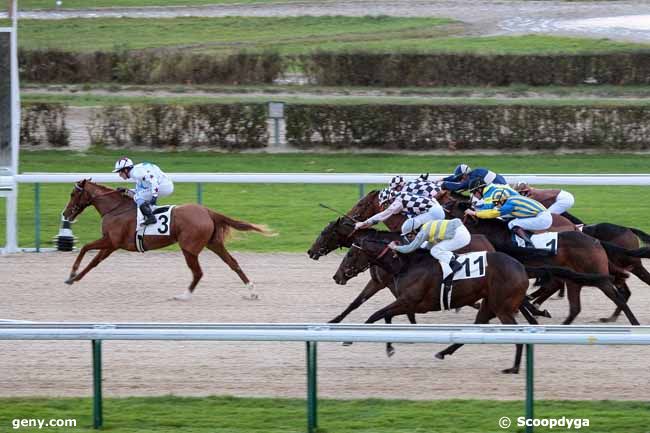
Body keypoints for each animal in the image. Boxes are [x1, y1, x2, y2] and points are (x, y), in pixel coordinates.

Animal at [62, 179, 272, 300]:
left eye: (73, 193)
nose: (65, 214)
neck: (116, 209)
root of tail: (207, 211)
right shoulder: (111, 245)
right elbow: (94, 262)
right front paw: (74, 278)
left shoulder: (111, 241)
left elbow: (85, 248)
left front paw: (72, 273)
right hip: (214, 244)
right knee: (233, 263)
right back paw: (252, 291)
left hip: (189, 248)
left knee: (198, 272)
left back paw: (184, 295)